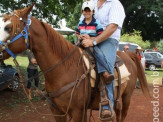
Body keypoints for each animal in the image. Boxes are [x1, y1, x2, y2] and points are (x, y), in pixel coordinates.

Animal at [0, 5, 150, 122]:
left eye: (8, 27)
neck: (64, 69)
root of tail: (128, 55)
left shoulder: (78, 112)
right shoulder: (57, 111)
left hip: (126, 97)